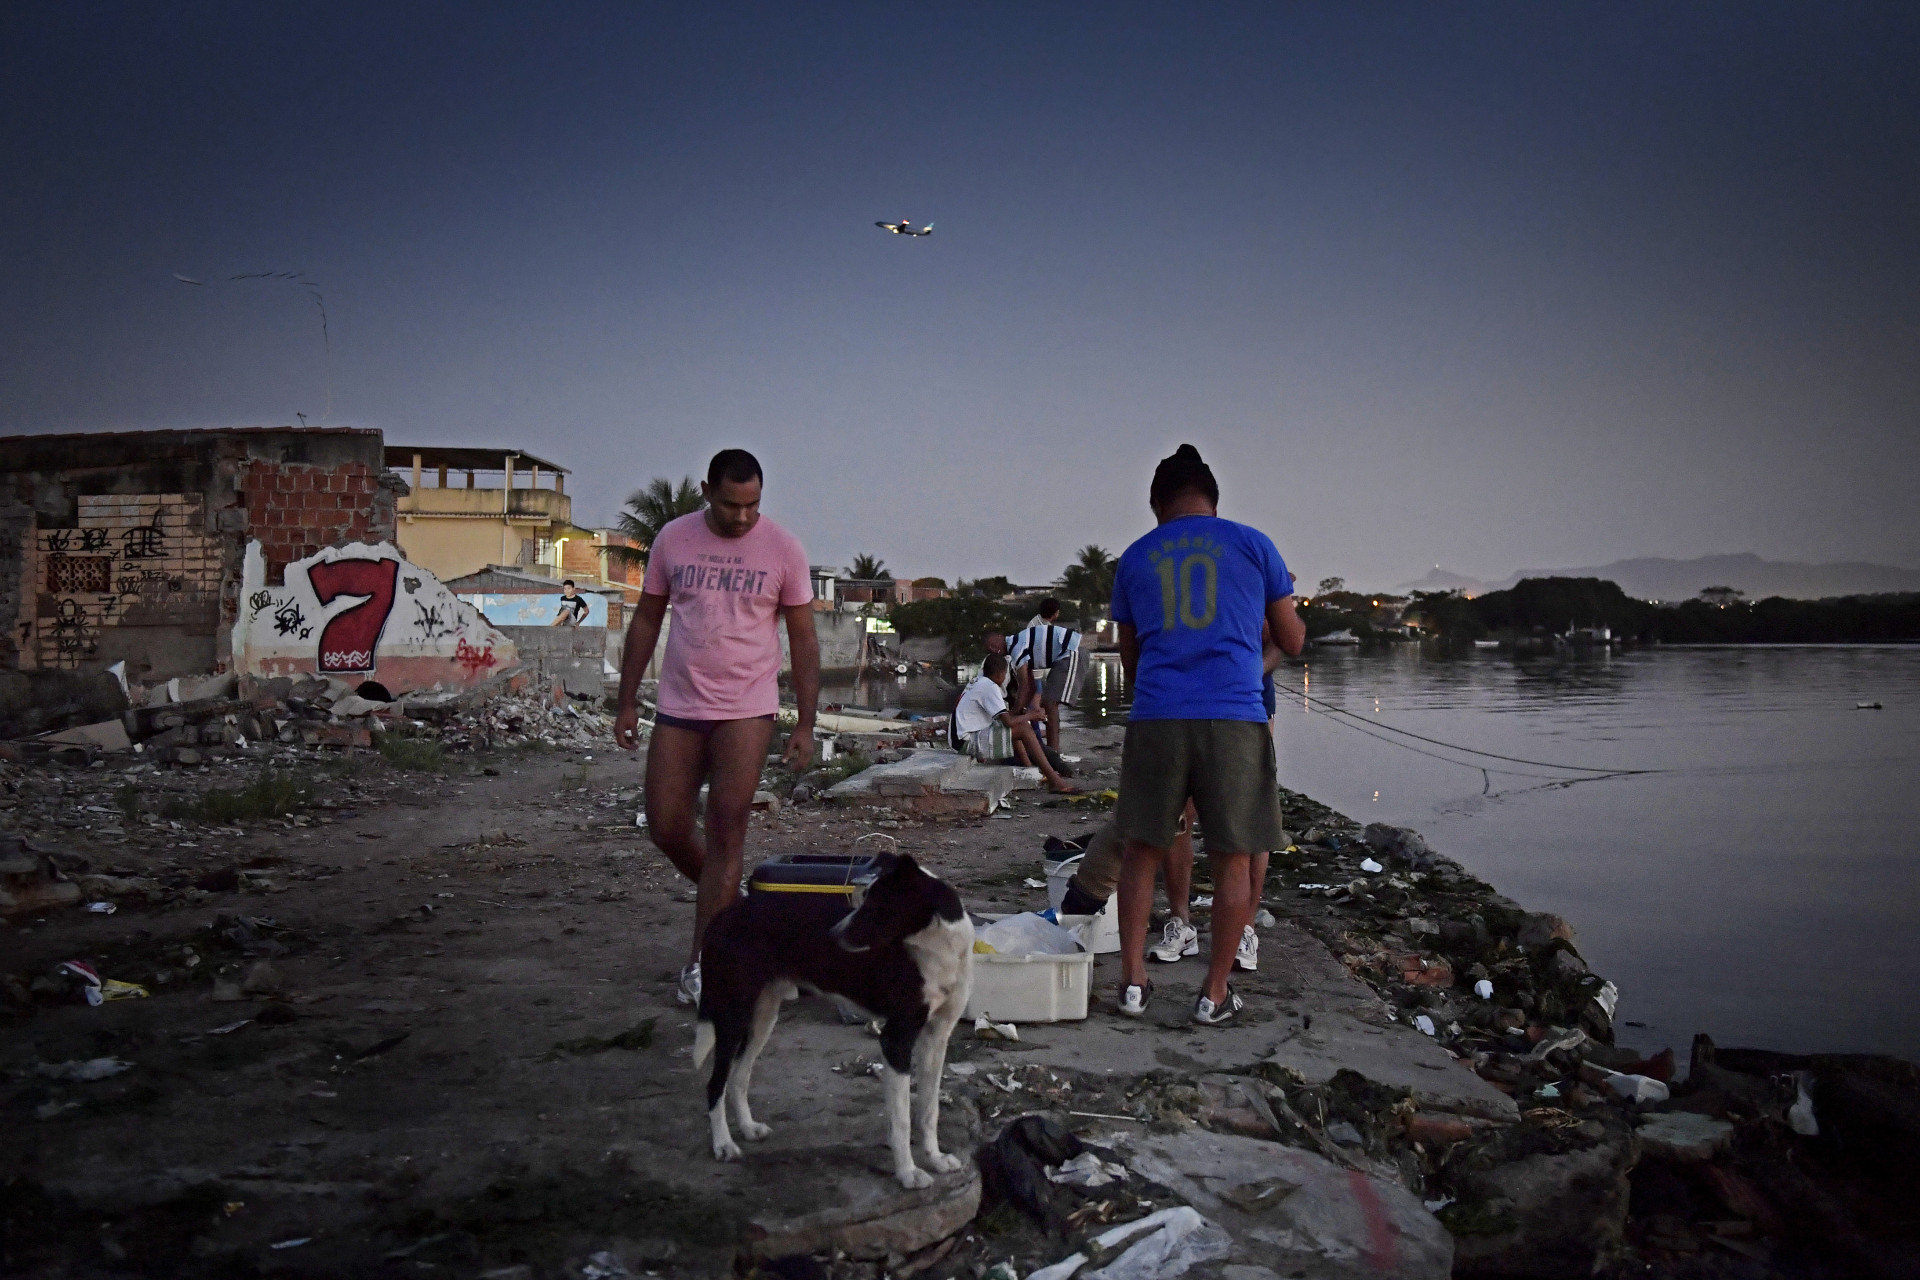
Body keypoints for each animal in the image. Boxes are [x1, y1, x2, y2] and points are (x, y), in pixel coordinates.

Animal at [695, 852, 975, 1189]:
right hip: (732, 1015)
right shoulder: (896, 1040)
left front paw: (934, 1158)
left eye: (876, 906)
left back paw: (748, 1127)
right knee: (716, 1083)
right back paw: (723, 1144)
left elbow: (929, 1111)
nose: (833, 935)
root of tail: (722, 917)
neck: (939, 949)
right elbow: (902, 1120)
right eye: (864, 900)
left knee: (739, 1075)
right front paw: (908, 1173)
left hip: (763, 1016)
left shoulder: (936, 1038)